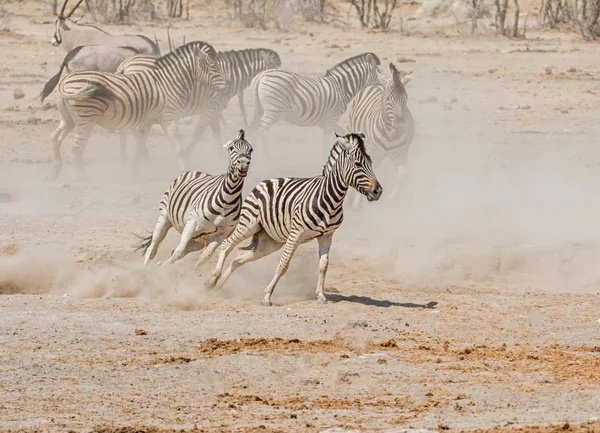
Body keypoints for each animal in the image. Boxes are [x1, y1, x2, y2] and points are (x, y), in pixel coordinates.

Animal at [50, 38, 225, 177]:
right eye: (212, 67)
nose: (225, 86)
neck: (170, 82)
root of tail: (65, 81)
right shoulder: (170, 117)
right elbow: (178, 147)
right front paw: (184, 171)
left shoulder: (151, 120)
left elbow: (140, 145)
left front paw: (135, 170)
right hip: (86, 118)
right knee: (76, 147)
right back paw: (82, 176)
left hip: (68, 118)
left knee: (55, 138)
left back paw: (56, 171)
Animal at [134, 129, 253, 266]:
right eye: (231, 148)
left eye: (251, 150)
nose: (243, 163)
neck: (227, 200)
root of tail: (194, 171)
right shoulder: (192, 224)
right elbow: (179, 251)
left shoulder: (222, 234)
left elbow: (204, 257)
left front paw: (192, 272)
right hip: (165, 217)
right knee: (152, 249)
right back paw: (146, 267)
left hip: (200, 240)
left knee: (177, 251)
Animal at [206, 130, 382, 306]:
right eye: (358, 164)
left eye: (371, 163)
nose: (378, 191)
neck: (330, 198)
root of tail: (265, 181)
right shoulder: (296, 233)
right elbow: (283, 265)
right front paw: (267, 296)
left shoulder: (327, 235)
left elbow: (323, 265)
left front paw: (321, 296)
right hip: (248, 224)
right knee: (226, 245)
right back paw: (212, 280)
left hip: (270, 242)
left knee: (238, 259)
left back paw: (219, 286)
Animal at [251, 53, 382, 156]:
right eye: (378, 72)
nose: (383, 85)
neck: (341, 88)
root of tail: (261, 75)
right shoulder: (331, 119)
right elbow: (326, 142)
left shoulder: (327, 121)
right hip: (274, 110)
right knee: (259, 130)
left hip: (261, 109)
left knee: (256, 130)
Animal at [346, 62, 412, 208]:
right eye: (387, 99)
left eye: (406, 99)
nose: (401, 125)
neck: (390, 134)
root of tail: (376, 83)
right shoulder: (372, 152)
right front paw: (357, 203)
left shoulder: (401, 154)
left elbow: (403, 174)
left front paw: (393, 197)